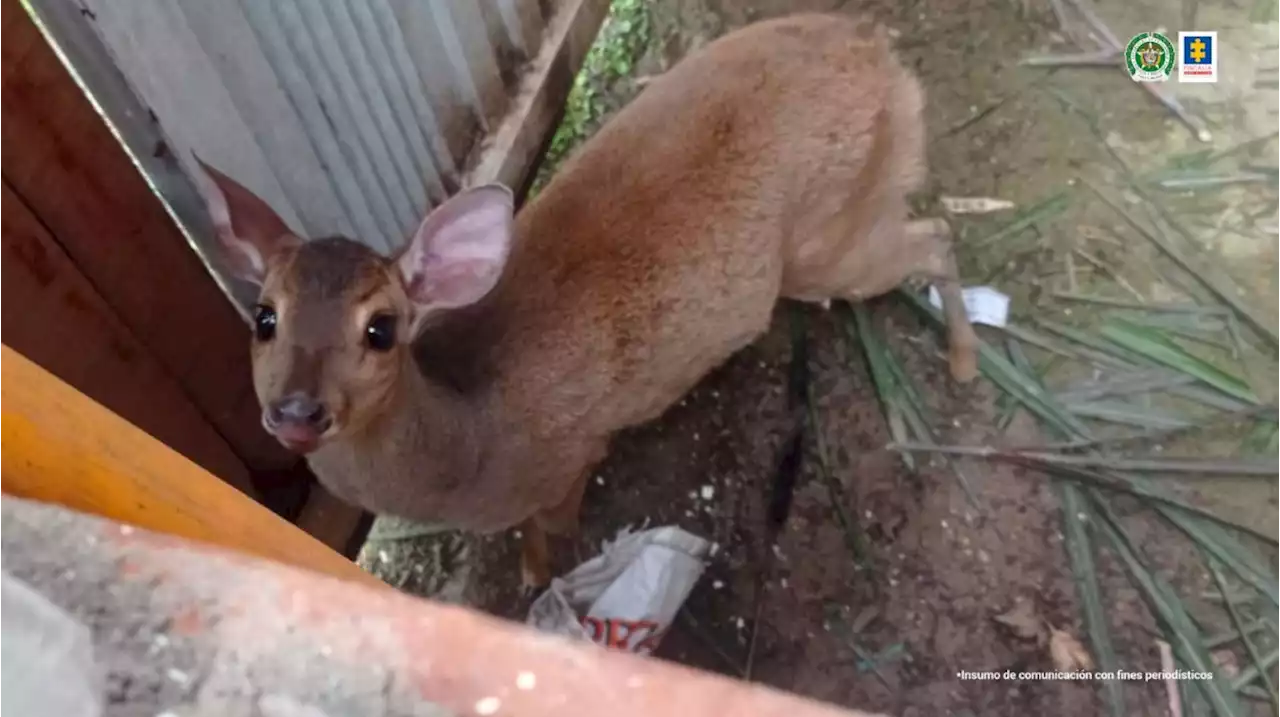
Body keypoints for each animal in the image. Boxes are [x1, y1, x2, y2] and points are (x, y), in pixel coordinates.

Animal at [194, 12, 977, 588]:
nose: (297, 412)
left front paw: (539, 576)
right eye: (265, 316)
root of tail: (878, 50)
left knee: (936, 232)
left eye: (381, 328)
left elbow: (553, 526)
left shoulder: (570, 456)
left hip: (829, 244)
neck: (468, 442)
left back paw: (966, 363)